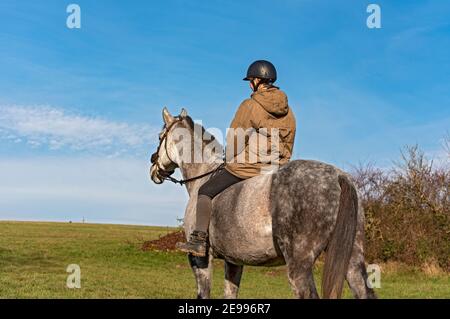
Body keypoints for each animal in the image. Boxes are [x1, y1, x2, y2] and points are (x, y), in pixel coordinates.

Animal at [150, 108, 376, 300]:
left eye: (160, 136)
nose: (153, 166)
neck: (202, 175)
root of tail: (338, 176)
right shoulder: (234, 261)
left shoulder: (200, 259)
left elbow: (203, 294)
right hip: (353, 259)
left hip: (299, 266)